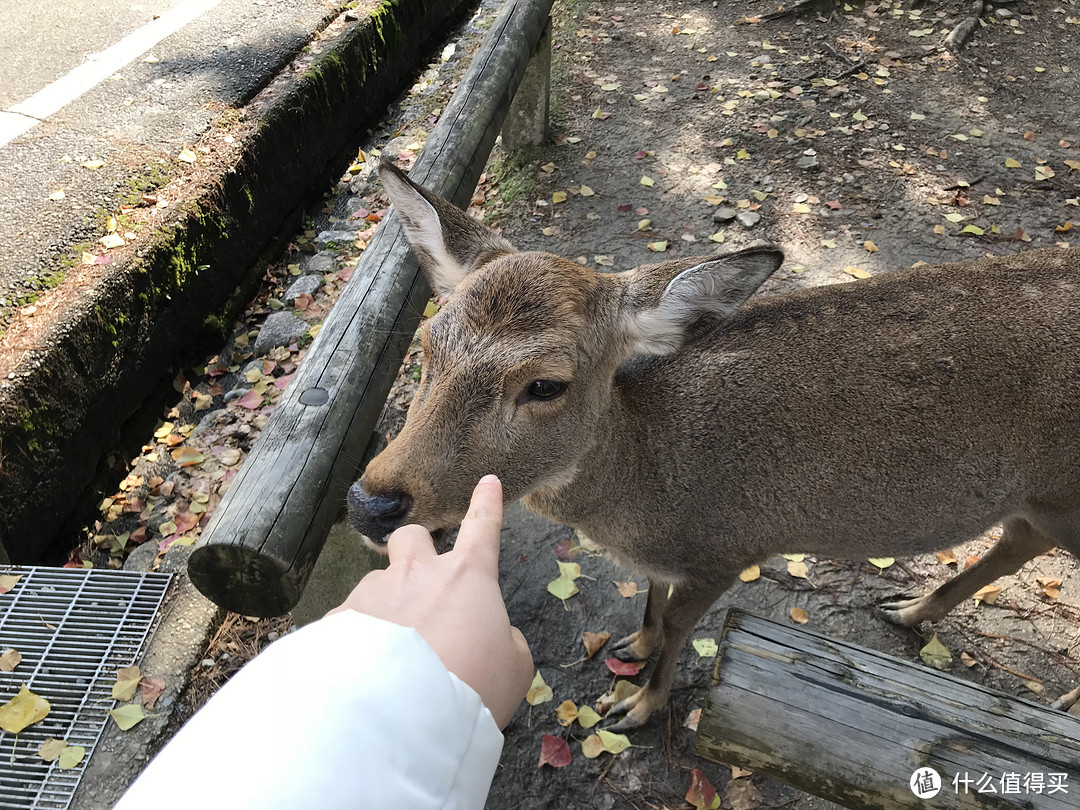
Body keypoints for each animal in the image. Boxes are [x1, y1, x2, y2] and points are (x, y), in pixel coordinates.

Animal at [349, 162, 1080, 734]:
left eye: (546, 384)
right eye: (427, 342)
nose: (370, 503)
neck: (652, 494)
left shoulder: (730, 549)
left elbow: (679, 628)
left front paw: (636, 707)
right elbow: (651, 601)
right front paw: (632, 645)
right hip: (1040, 501)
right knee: (1017, 540)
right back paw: (908, 610)